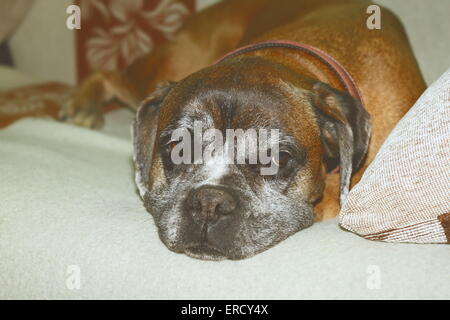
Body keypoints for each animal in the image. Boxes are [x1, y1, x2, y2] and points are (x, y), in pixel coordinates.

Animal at [60, 0, 426, 260]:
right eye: (177, 148)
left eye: (277, 159)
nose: (209, 202)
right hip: (166, 67)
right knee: (108, 74)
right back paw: (82, 106)